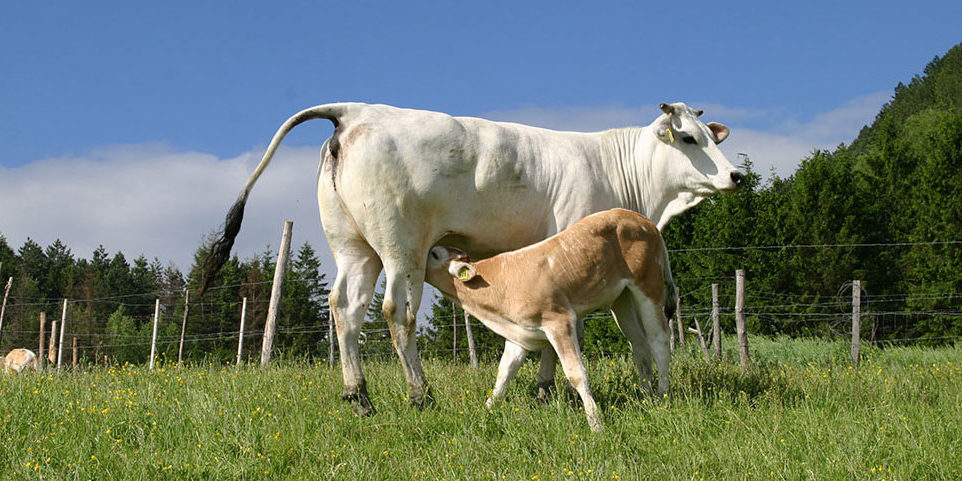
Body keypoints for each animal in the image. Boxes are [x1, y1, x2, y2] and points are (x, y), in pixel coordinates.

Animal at [424, 210, 672, 432]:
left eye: (434, 254)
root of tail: (643, 219)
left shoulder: (559, 321)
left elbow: (576, 373)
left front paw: (596, 423)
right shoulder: (518, 334)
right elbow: (503, 374)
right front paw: (485, 412)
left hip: (648, 285)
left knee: (659, 341)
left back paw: (662, 396)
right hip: (622, 299)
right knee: (640, 346)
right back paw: (645, 395)